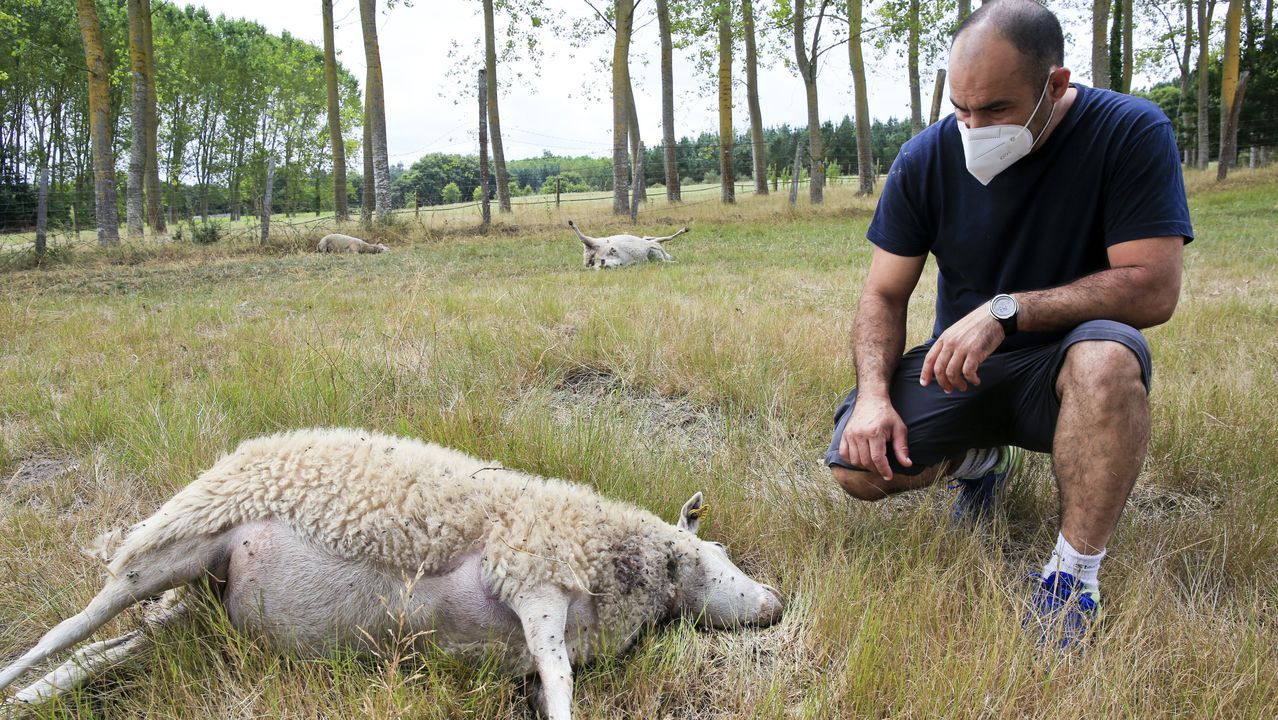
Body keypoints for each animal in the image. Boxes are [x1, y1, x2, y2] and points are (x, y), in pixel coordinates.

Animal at [0, 424, 782, 716]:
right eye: (720, 552)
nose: (777, 603)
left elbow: (548, 677)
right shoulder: (533, 580)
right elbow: (559, 677)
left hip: (199, 608)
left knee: (111, 648)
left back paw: (40, 696)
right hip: (174, 541)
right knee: (70, 629)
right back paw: (17, 683)